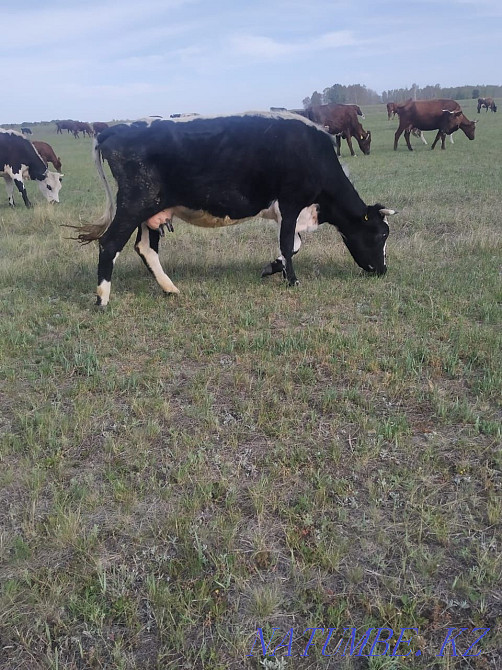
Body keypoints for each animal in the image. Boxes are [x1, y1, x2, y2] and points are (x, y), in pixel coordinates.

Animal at [69, 113, 395, 307]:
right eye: (380, 235)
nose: (382, 271)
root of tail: (114, 130)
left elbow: (294, 245)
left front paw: (272, 267)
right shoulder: (291, 204)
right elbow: (288, 244)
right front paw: (292, 280)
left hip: (150, 210)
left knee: (145, 248)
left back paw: (170, 288)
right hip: (134, 204)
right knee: (110, 243)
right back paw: (102, 299)